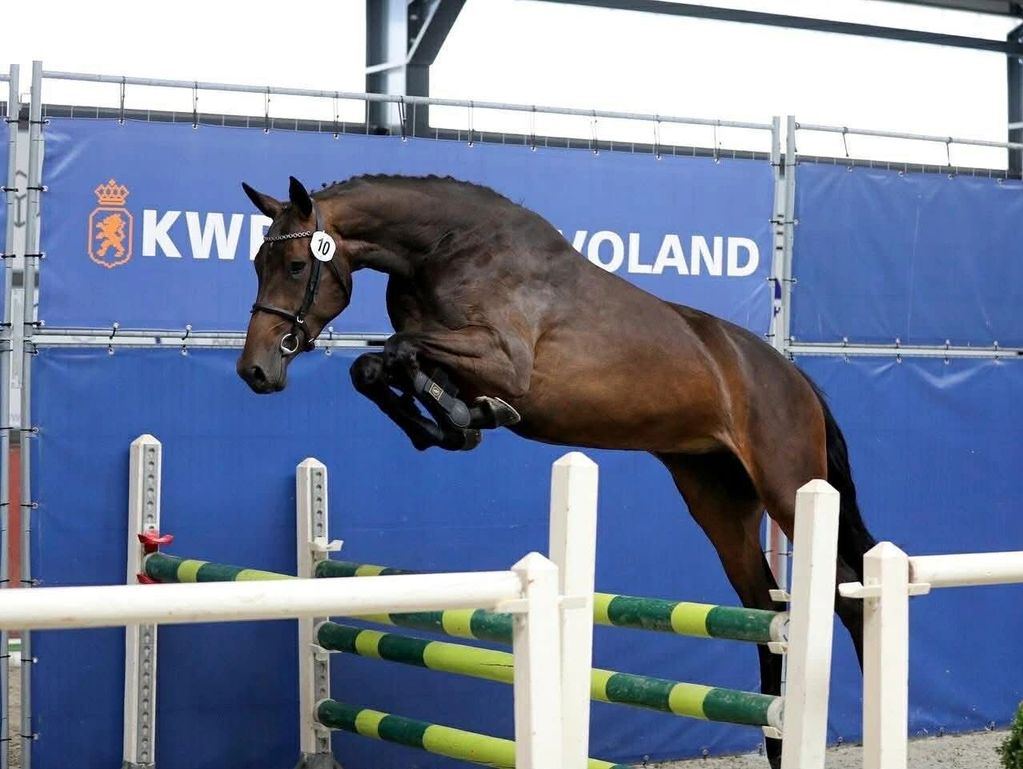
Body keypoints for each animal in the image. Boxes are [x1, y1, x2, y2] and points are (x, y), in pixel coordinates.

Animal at [236, 174, 877, 768]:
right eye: (257, 263)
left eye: (295, 265)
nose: (255, 370)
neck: (443, 249)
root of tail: (794, 377)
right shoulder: (448, 352)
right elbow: (376, 366)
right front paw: (449, 426)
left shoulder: (502, 359)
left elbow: (397, 350)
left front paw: (467, 417)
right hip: (716, 497)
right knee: (764, 608)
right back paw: (774, 741)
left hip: (788, 486)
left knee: (842, 591)